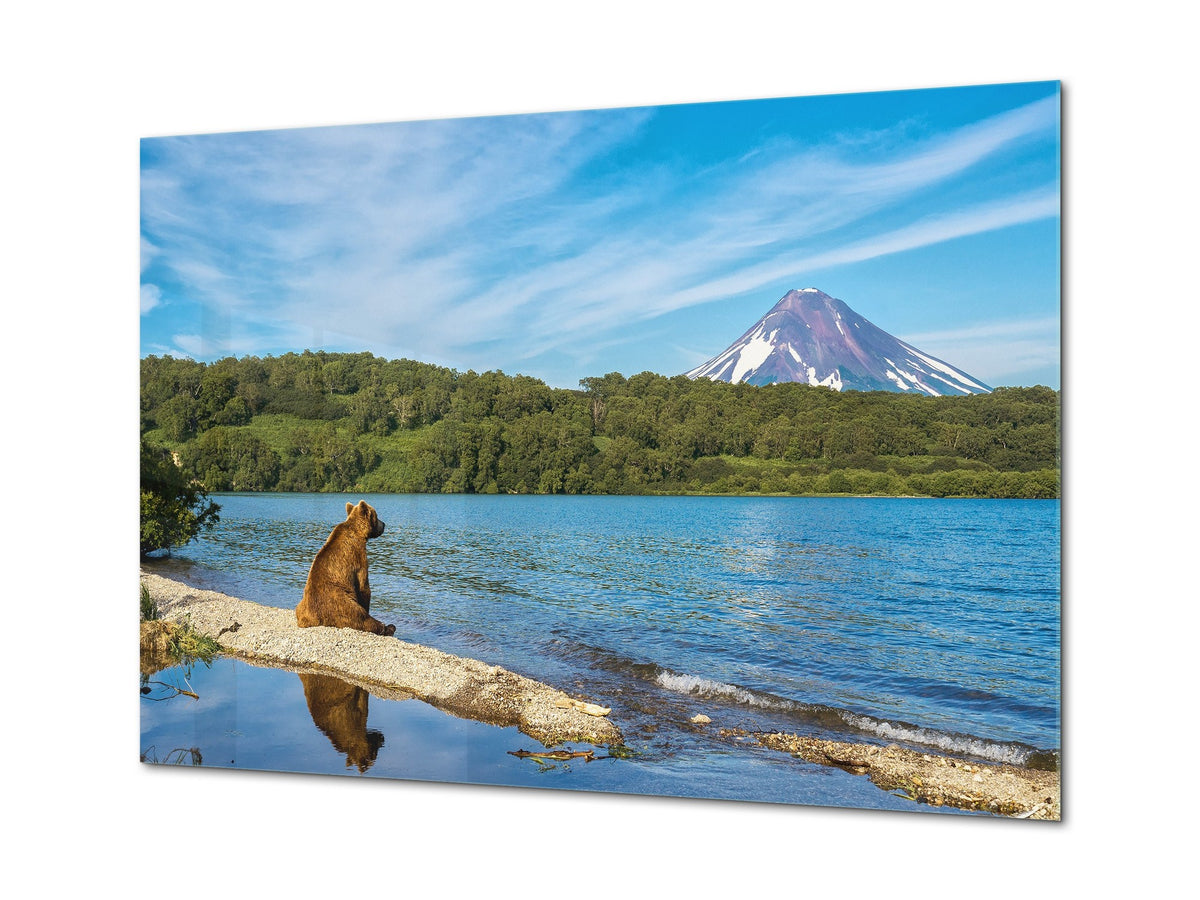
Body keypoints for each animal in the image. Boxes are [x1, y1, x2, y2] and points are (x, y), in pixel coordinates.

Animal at [295, 500, 396, 636]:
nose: (384, 524)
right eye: (376, 516)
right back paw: (388, 627)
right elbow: (364, 587)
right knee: (361, 618)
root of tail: (311, 619)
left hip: (302, 604)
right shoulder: (358, 557)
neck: (358, 532)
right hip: (341, 603)